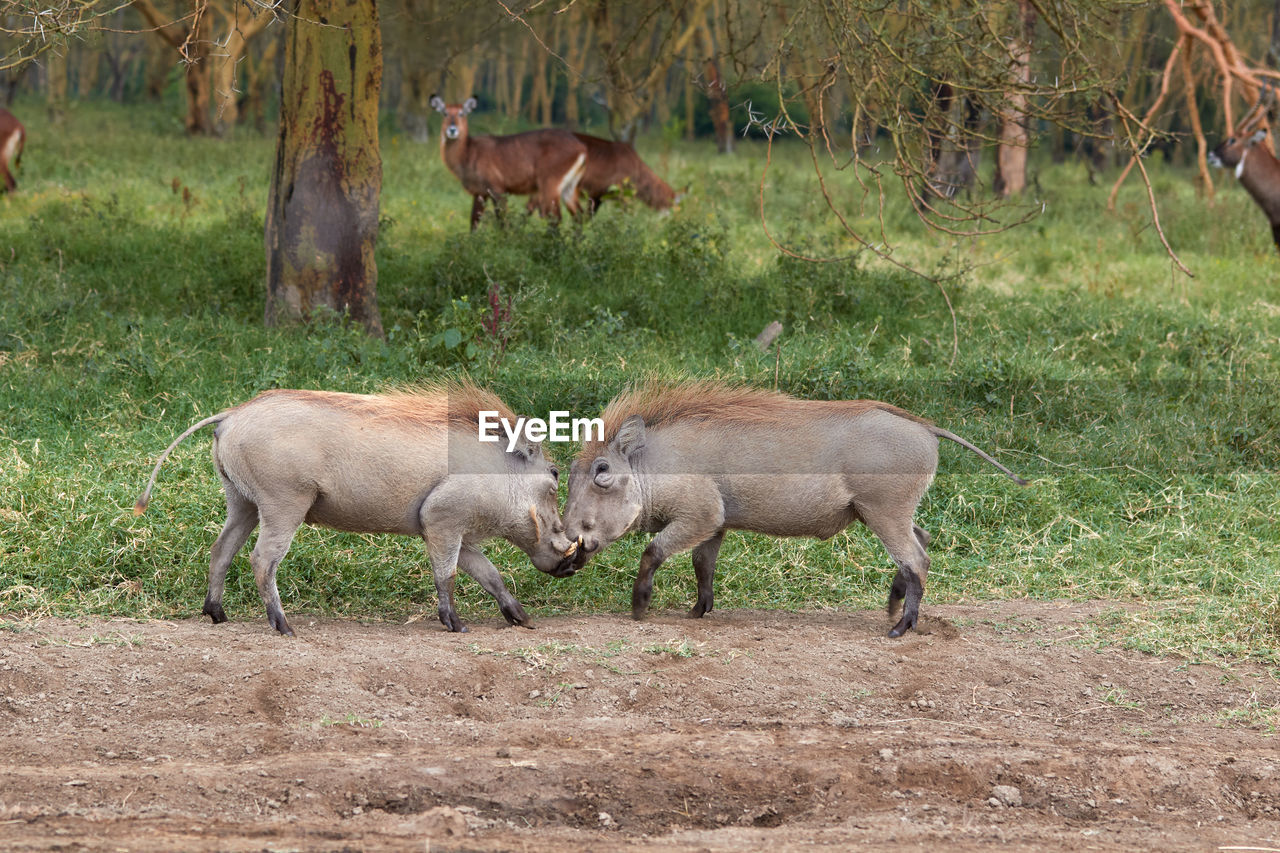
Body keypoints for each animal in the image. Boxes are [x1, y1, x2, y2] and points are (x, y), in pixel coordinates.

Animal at [430, 95, 588, 229]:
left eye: (461, 113)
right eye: (444, 113)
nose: (452, 130)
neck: (468, 151)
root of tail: (581, 147)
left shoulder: (497, 189)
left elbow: (502, 220)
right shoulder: (480, 192)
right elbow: (474, 221)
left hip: (550, 185)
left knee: (556, 219)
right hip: (569, 187)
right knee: (579, 216)